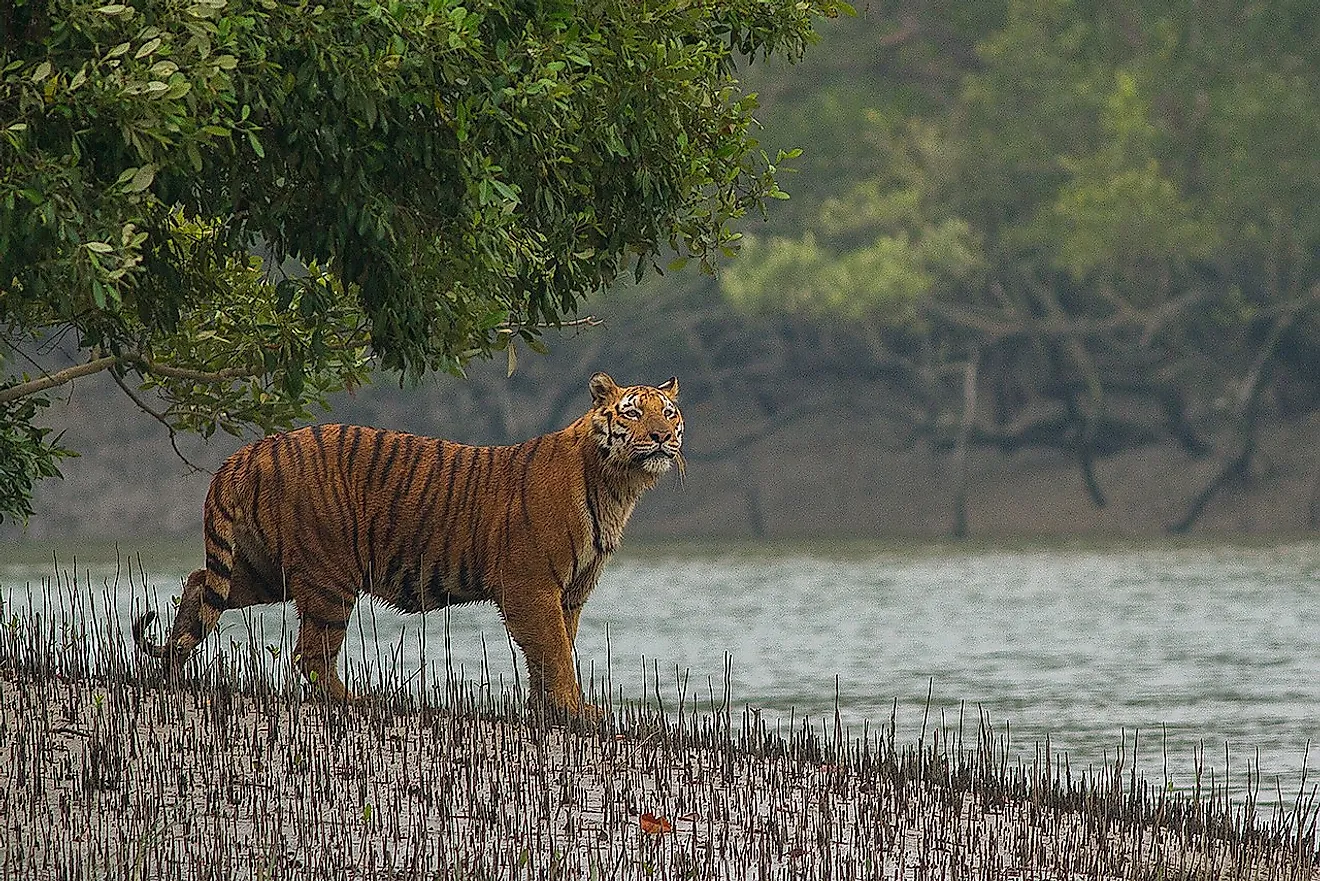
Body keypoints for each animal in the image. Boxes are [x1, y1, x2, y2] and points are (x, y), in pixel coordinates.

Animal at [132, 372, 681, 718]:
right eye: (633, 414)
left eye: (669, 414)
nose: (661, 437)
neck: (617, 485)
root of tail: (250, 450)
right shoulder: (532, 585)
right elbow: (553, 650)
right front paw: (576, 710)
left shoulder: (571, 591)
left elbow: (556, 647)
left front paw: (549, 709)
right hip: (329, 576)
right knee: (310, 653)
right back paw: (355, 701)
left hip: (265, 568)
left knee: (199, 583)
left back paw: (170, 666)